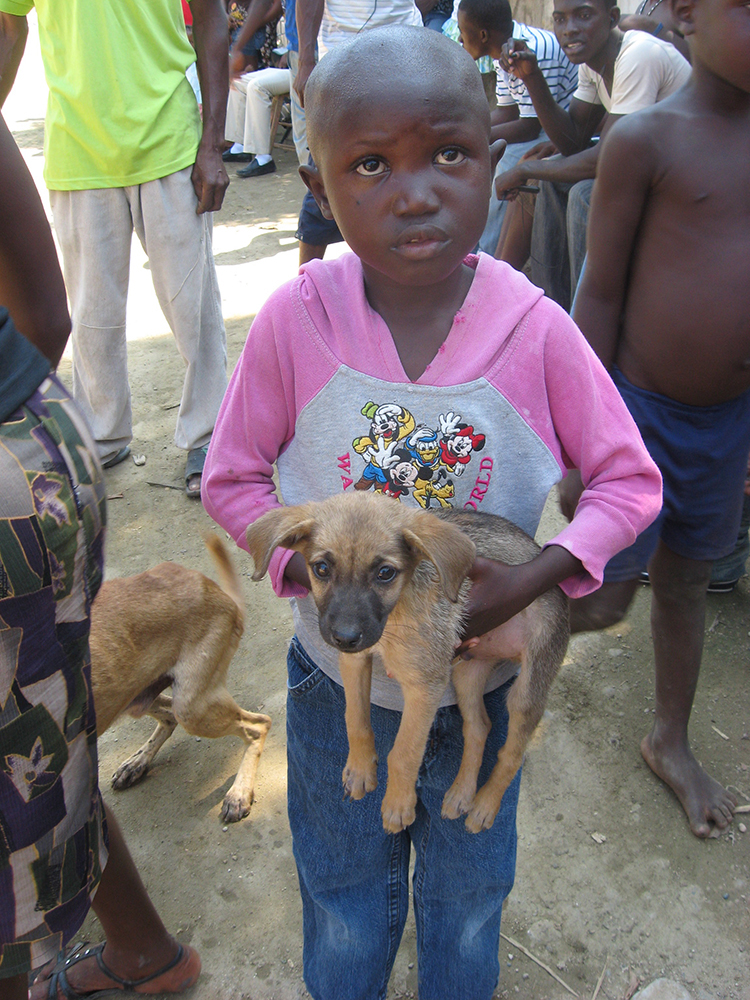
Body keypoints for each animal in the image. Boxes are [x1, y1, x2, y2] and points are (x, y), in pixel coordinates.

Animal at [90, 536, 274, 824]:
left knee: (259, 725)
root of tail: (216, 591)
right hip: (133, 694)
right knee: (168, 716)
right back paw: (137, 763)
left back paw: (239, 793)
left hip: (192, 705)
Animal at [247, 494, 568, 836]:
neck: (396, 613)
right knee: (479, 726)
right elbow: (355, 718)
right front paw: (360, 769)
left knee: (512, 753)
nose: (344, 637)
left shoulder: (425, 684)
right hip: (466, 671)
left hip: (528, 687)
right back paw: (461, 794)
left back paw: (484, 806)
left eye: (385, 573)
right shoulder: (355, 660)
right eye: (321, 568)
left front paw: (398, 806)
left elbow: (405, 751)